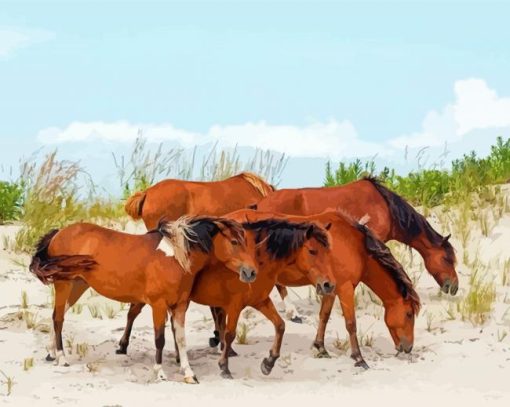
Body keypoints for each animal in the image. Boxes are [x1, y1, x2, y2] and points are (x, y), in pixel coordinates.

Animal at [29, 217, 256, 386]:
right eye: (234, 242)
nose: (251, 272)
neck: (175, 257)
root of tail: (58, 233)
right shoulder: (158, 305)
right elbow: (160, 339)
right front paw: (160, 373)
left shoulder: (180, 306)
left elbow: (181, 340)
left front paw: (189, 374)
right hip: (64, 284)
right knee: (58, 318)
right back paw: (62, 358)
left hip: (78, 285)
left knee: (57, 316)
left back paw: (51, 354)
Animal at [116, 214, 338, 380]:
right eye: (312, 251)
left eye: (328, 252)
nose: (329, 284)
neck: (259, 260)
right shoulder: (235, 305)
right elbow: (230, 333)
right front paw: (224, 366)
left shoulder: (260, 301)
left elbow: (280, 325)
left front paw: (268, 363)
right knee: (133, 313)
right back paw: (122, 346)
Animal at [209, 210, 420, 370]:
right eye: (409, 314)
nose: (408, 348)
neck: (354, 244)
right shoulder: (345, 288)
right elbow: (351, 324)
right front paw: (359, 358)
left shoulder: (330, 288)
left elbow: (324, 316)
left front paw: (320, 347)